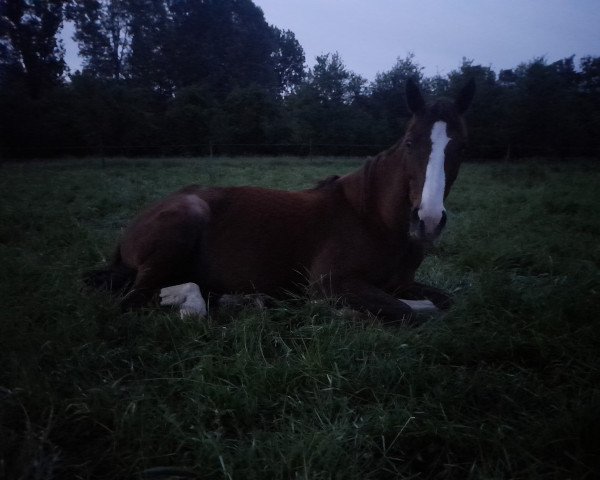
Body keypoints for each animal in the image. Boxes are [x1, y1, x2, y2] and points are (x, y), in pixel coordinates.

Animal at [86, 79, 476, 326]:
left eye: (462, 147)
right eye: (410, 142)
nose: (428, 220)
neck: (374, 218)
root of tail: (130, 229)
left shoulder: (400, 282)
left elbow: (445, 302)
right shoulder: (333, 282)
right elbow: (406, 311)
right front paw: (337, 311)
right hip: (184, 222)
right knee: (138, 299)